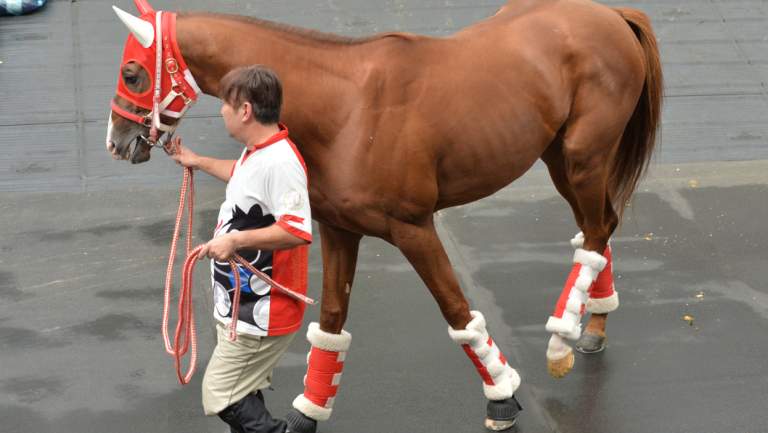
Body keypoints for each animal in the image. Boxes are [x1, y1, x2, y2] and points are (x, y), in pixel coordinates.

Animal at [106, 0, 660, 426]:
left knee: (595, 232)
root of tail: (611, 14)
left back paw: (561, 341)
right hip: (560, 160)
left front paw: (501, 397)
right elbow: (331, 320)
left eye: (132, 73)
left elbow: (457, 311)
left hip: (584, 159)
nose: (117, 141)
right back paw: (592, 327)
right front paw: (308, 413)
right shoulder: (338, 229)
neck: (346, 110)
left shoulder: (414, 229)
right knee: (598, 228)